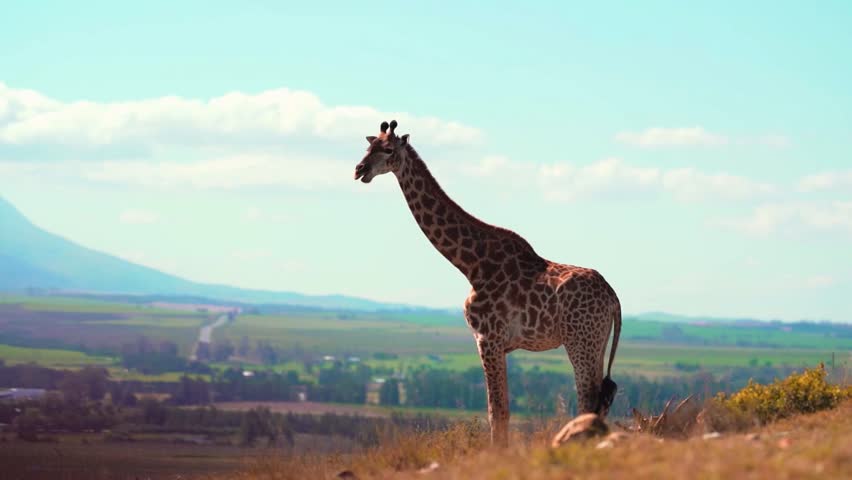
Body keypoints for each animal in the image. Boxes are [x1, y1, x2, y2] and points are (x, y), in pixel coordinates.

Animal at [354, 120, 621, 446]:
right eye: (368, 146)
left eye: (389, 150)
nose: (360, 169)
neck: (470, 265)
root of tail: (613, 297)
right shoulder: (500, 345)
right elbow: (501, 409)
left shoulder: (487, 338)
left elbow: (497, 412)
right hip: (597, 341)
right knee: (600, 399)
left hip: (580, 341)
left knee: (587, 399)